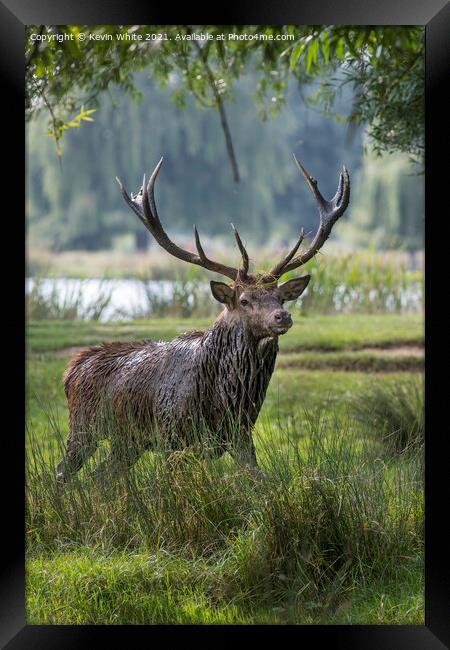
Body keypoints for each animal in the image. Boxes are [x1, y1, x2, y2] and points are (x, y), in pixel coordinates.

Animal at [56, 156, 350, 480]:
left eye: (281, 297)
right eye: (244, 301)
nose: (282, 316)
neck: (225, 400)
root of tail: (72, 369)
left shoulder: (240, 436)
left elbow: (258, 481)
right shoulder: (172, 436)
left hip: (127, 441)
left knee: (101, 477)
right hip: (83, 427)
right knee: (62, 473)